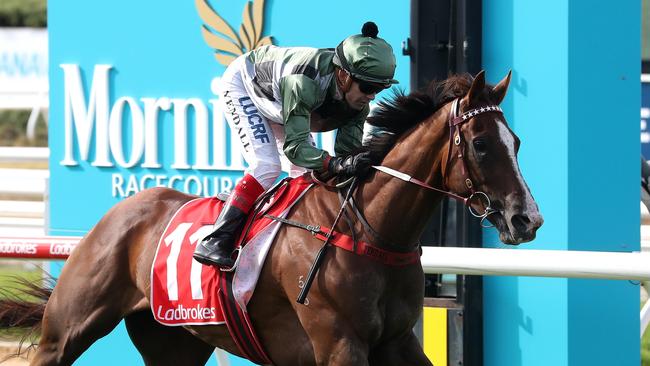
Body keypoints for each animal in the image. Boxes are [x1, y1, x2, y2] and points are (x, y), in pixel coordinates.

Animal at [0, 70, 540, 364]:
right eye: (481, 144)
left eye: (516, 141)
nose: (526, 220)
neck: (368, 230)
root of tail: (116, 216)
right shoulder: (339, 346)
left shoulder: (397, 343)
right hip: (68, 330)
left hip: (173, 342)